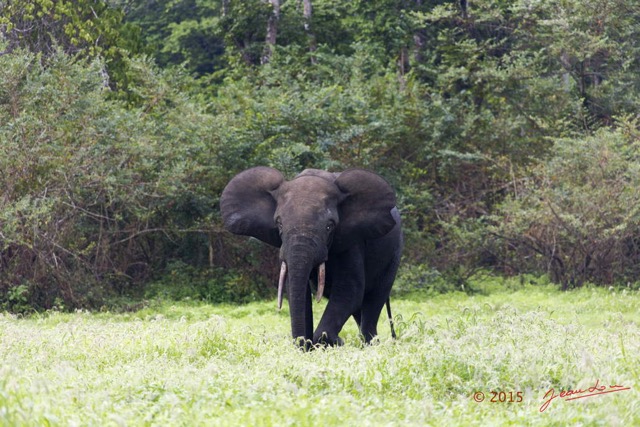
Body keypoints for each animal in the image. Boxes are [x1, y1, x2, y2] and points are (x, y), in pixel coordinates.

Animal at [219, 166, 400, 350]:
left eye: (329, 226)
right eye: (279, 224)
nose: (304, 345)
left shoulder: (352, 241)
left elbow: (349, 290)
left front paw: (332, 342)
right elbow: (299, 292)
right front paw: (307, 346)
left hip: (393, 256)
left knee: (374, 299)